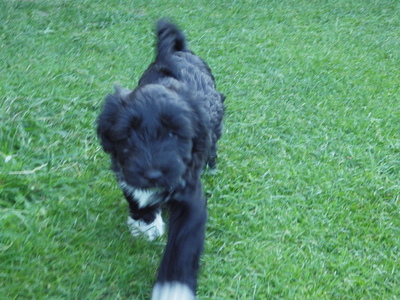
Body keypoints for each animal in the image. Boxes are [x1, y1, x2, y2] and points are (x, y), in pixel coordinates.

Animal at [95, 19, 223, 298]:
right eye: (128, 135)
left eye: (174, 133)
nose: (153, 174)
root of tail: (178, 50)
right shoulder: (125, 170)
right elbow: (134, 193)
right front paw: (145, 222)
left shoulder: (191, 197)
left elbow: (183, 243)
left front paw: (173, 288)